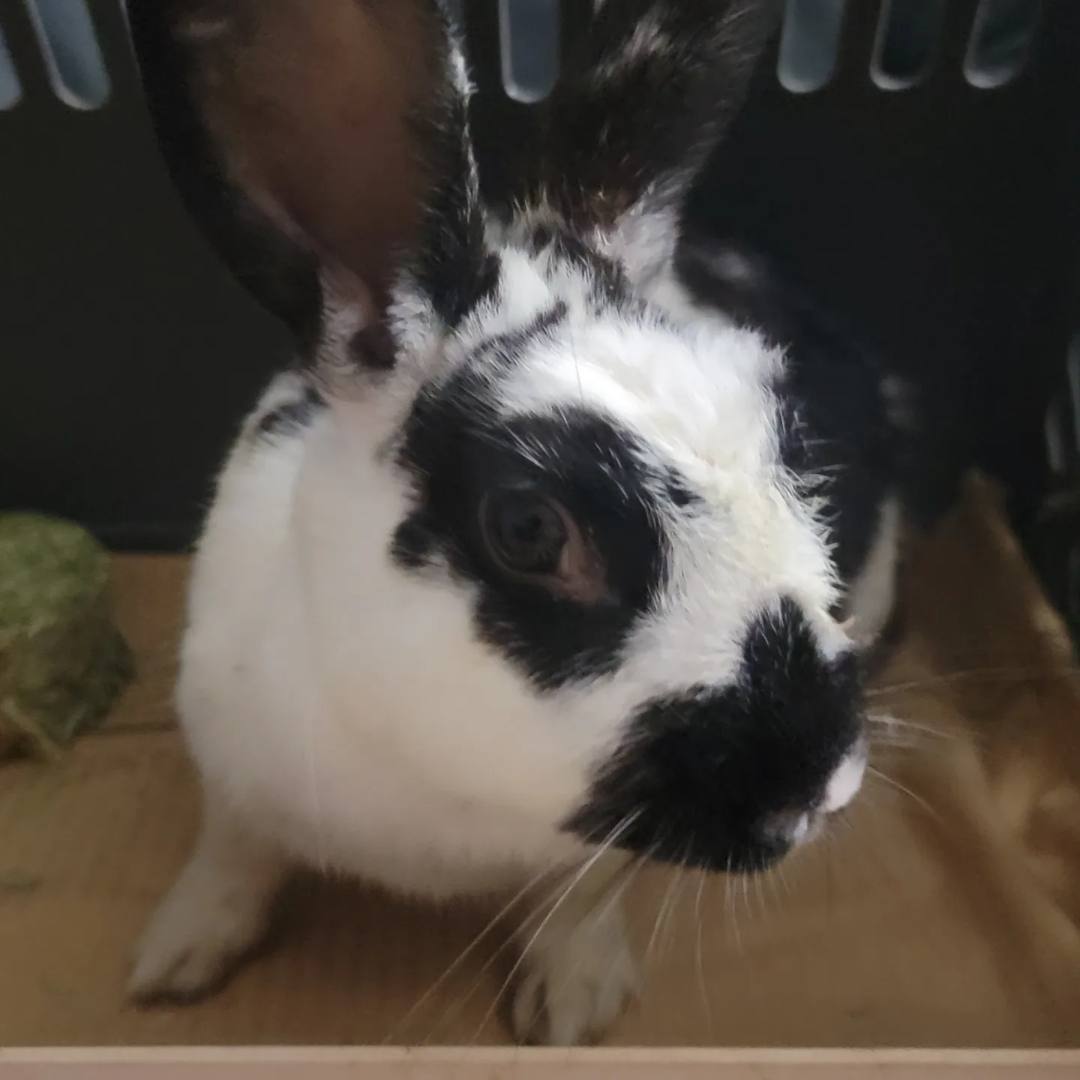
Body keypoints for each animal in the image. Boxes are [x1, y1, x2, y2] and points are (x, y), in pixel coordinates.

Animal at [128, 0, 908, 1045]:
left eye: (782, 442)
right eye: (531, 530)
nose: (824, 788)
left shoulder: (596, 860)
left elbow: (576, 909)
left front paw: (570, 1010)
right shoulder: (228, 770)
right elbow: (231, 858)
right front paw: (175, 961)